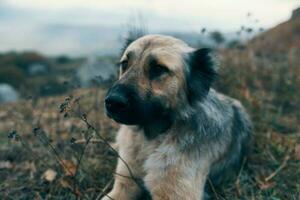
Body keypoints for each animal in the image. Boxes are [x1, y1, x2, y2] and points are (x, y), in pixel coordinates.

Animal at [102, 35, 252, 199]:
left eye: (158, 68)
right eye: (125, 64)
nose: (112, 102)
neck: (151, 139)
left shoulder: (175, 193)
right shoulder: (124, 184)